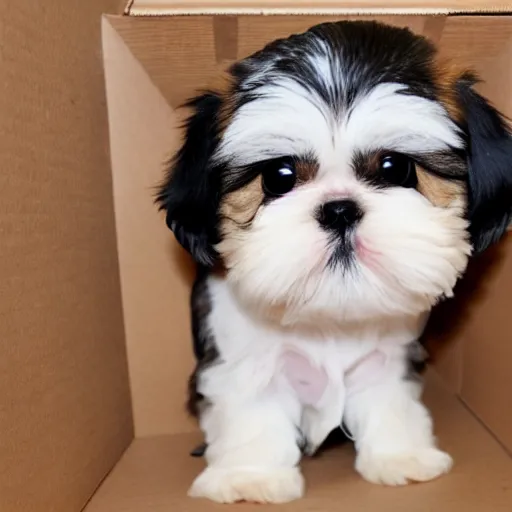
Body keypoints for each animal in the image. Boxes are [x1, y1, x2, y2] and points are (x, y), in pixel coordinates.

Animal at [156, 21, 512, 504]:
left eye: (395, 168)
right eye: (279, 177)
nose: (340, 209)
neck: (330, 312)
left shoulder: (390, 355)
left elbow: (388, 399)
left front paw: (401, 455)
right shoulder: (243, 358)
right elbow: (253, 409)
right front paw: (250, 476)